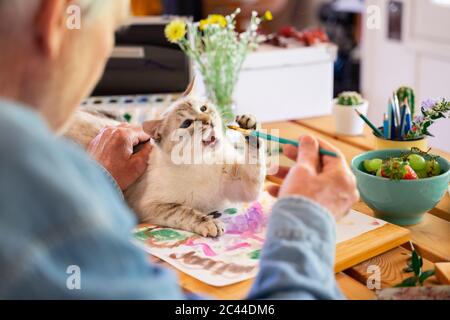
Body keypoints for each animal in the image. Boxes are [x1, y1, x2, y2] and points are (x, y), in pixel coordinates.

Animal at [65, 82, 266, 238]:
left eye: (203, 108)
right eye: (187, 124)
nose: (208, 120)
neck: (202, 163)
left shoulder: (244, 185)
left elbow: (255, 156)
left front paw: (248, 124)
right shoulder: (153, 206)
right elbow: (187, 212)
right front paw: (210, 223)